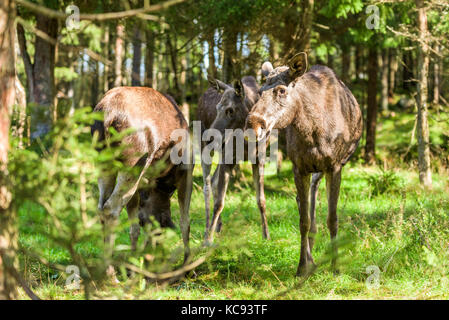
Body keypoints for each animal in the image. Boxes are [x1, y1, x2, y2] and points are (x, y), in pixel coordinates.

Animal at [91, 87, 192, 276]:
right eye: (161, 227)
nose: (154, 258)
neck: (161, 183)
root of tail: (107, 115)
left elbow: (134, 226)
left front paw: (133, 265)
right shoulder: (186, 170)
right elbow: (185, 221)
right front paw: (187, 265)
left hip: (104, 163)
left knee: (101, 206)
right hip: (133, 162)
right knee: (111, 208)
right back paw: (110, 274)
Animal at [197, 75, 270, 242]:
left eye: (230, 110)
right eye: (217, 108)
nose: (209, 137)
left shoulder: (259, 160)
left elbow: (261, 199)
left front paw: (266, 235)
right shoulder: (227, 159)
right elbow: (219, 202)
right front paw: (207, 241)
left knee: (214, 181)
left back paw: (217, 226)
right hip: (205, 150)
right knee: (207, 186)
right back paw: (207, 229)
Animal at [247, 53, 362, 276]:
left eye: (282, 90)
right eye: (260, 91)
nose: (254, 123)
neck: (312, 129)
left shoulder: (335, 166)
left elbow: (332, 218)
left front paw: (335, 266)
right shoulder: (298, 168)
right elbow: (303, 221)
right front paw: (302, 266)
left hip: (324, 168)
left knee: (314, 195)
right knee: (304, 202)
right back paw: (311, 253)